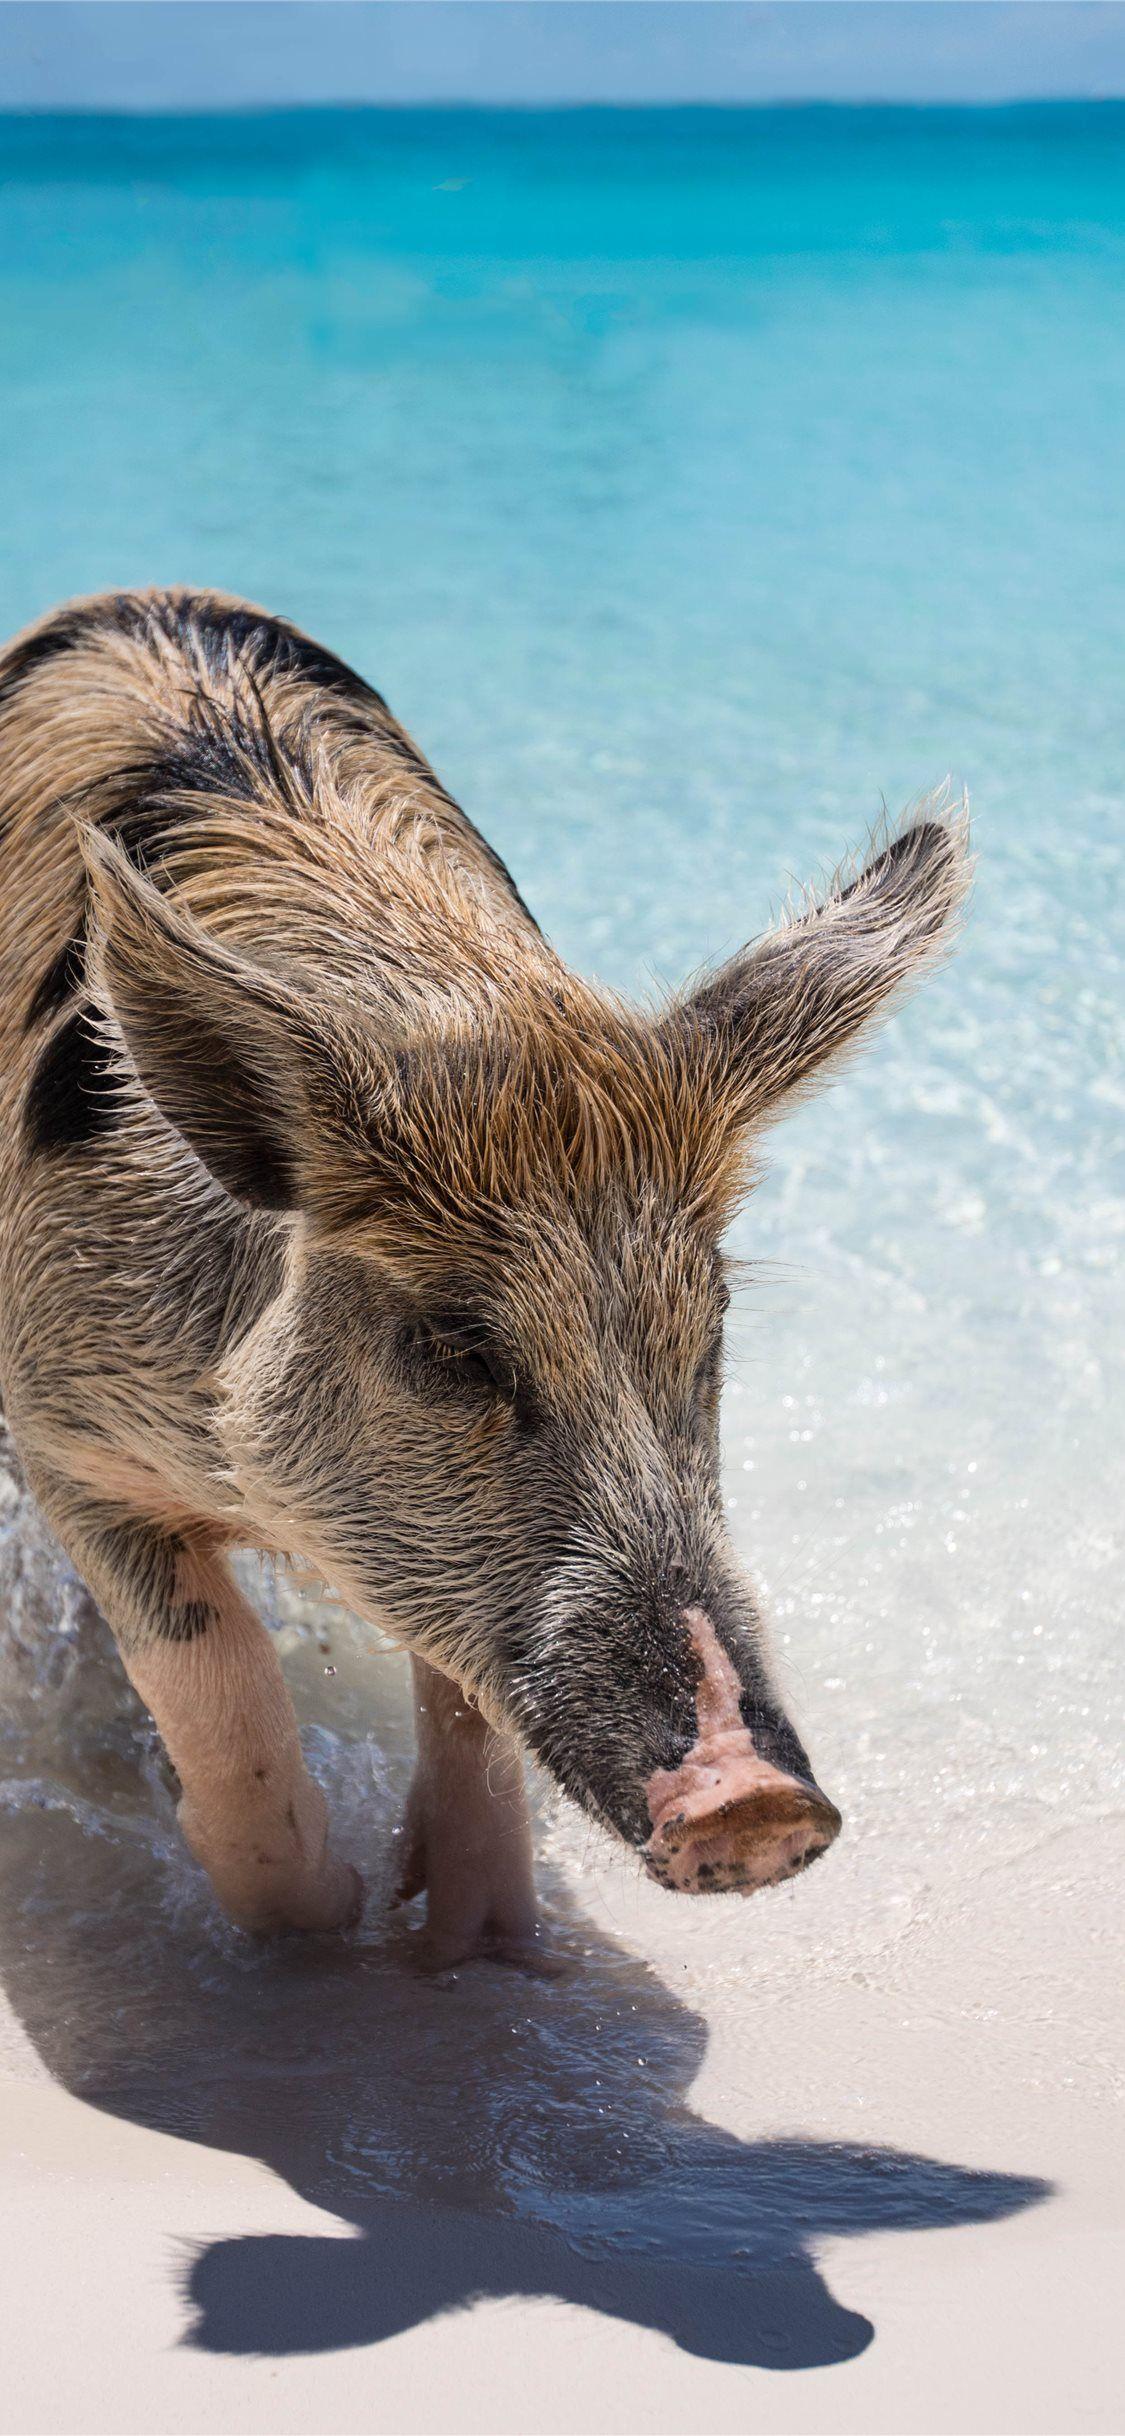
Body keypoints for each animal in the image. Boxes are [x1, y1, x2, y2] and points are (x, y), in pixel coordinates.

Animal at [0, 589, 969, 1967]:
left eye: (709, 1333)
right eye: (454, 1348)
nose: (756, 1802)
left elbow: (462, 1695)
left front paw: (468, 1937)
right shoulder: (61, 1422)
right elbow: (211, 1671)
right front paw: (326, 1915)